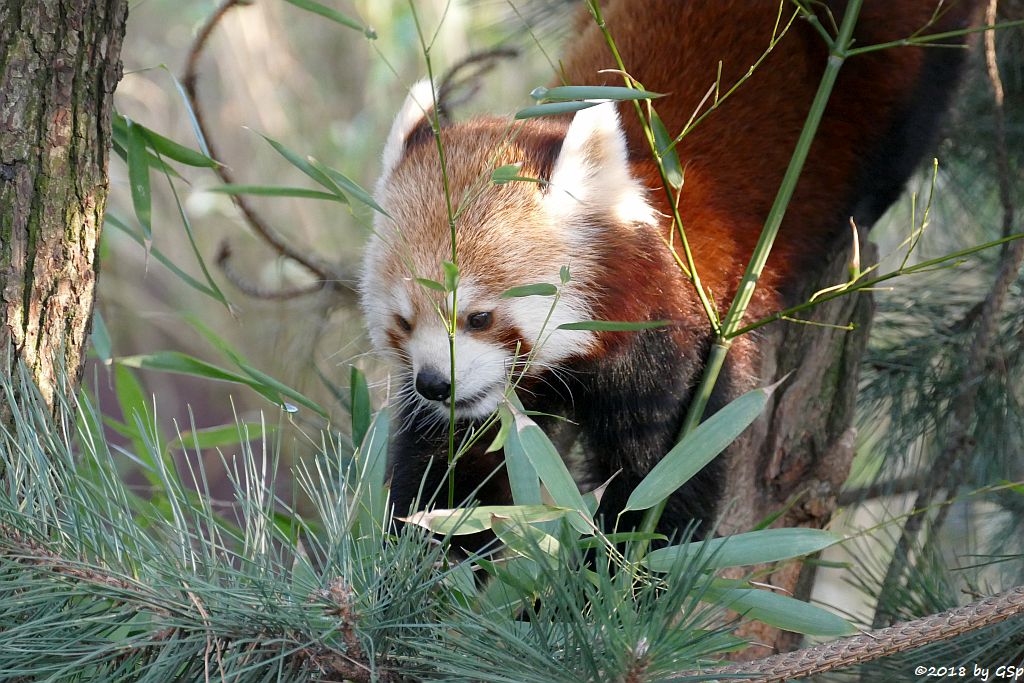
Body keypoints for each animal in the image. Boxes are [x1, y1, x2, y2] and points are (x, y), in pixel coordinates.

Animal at [360, 2, 974, 540]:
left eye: (480, 317)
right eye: (404, 322)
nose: (435, 383)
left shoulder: (689, 344)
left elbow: (662, 480)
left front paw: (618, 582)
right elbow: (451, 482)